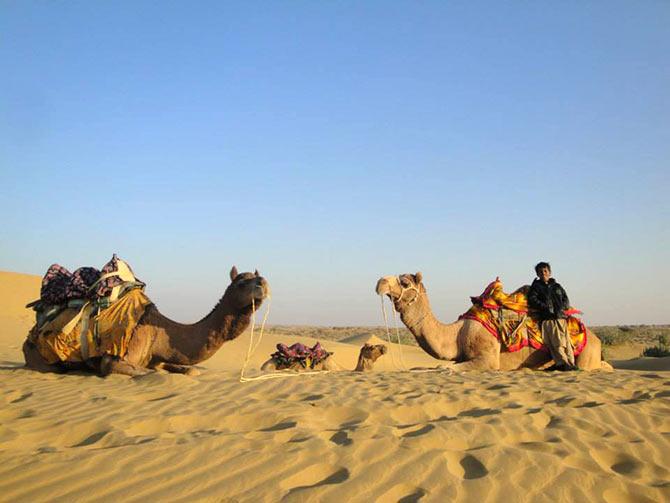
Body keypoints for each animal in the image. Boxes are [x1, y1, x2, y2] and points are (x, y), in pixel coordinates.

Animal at [23, 268, 270, 378]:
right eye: (241, 283)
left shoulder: (160, 358)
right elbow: (147, 373)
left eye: (258, 277)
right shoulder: (116, 359)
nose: (263, 283)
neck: (160, 334)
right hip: (39, 356)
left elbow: (190, 371)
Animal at [376, 274, 612, 372]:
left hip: (587, 352)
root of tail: (596, 338)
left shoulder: (488, 357)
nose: (380, 282)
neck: (456, 334)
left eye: (404, 282)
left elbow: (445, 367)